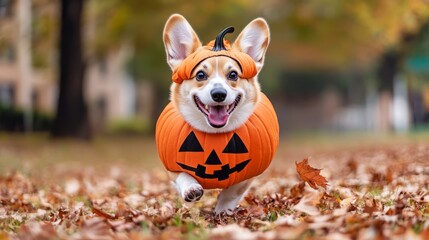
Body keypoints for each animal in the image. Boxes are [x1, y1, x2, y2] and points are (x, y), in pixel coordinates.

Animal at [160, 14, 270, 215]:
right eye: (200, 75)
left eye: (233, 75)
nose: (219, 94)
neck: (214, 132)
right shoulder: (170, 164)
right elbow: (183, 175)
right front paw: (191, 189)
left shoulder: (251, 171)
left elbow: (233, 191)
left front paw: (223, 211)